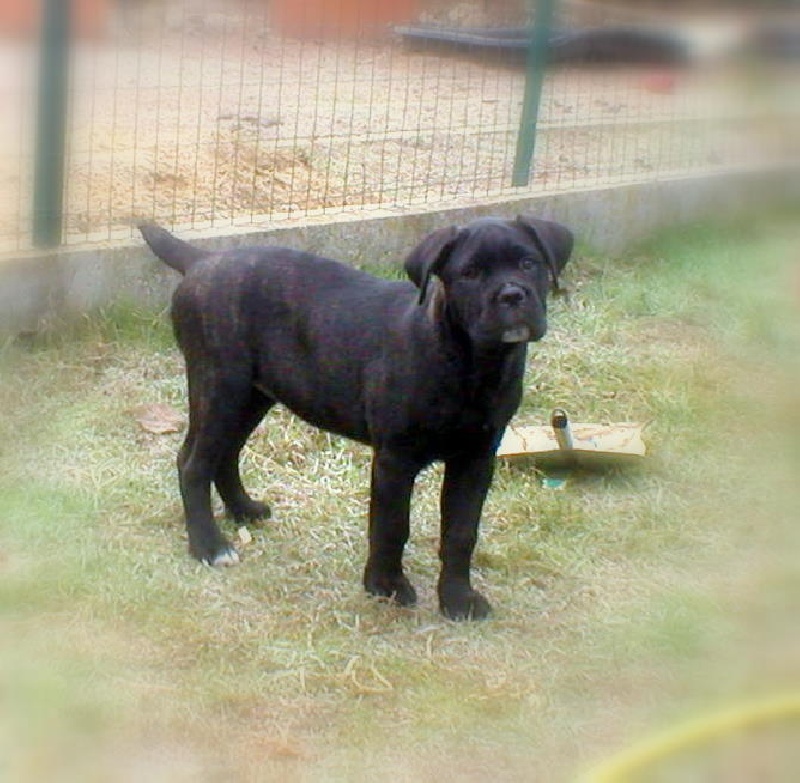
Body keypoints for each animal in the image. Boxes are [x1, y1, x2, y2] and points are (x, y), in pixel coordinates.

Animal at [141, 217, 572, 620]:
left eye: (528, 263)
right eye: (469, 274)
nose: (512, 294)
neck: (471, 361)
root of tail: (202, 260)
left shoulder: (476, 459)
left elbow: (462, 532)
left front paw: (458, 599)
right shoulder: (396, 459)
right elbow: (392, 525)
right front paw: (386, 586)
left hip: (252, 394)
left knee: (225, 454)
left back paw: (243, 510)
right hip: (221, 386)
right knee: (193, 463)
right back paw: (209, 546)